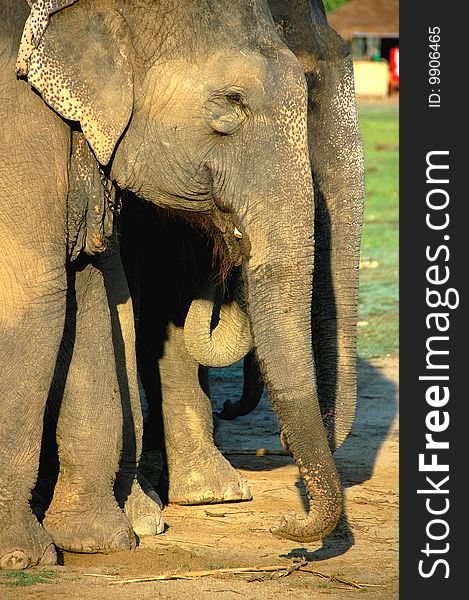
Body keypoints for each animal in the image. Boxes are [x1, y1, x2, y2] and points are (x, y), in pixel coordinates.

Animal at [0, 0, 362, 568]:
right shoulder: (18, 128)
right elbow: (38, 296)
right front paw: (28, 557)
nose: (284, 526)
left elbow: (94, 294)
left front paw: (103, 538)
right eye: (232, 105)